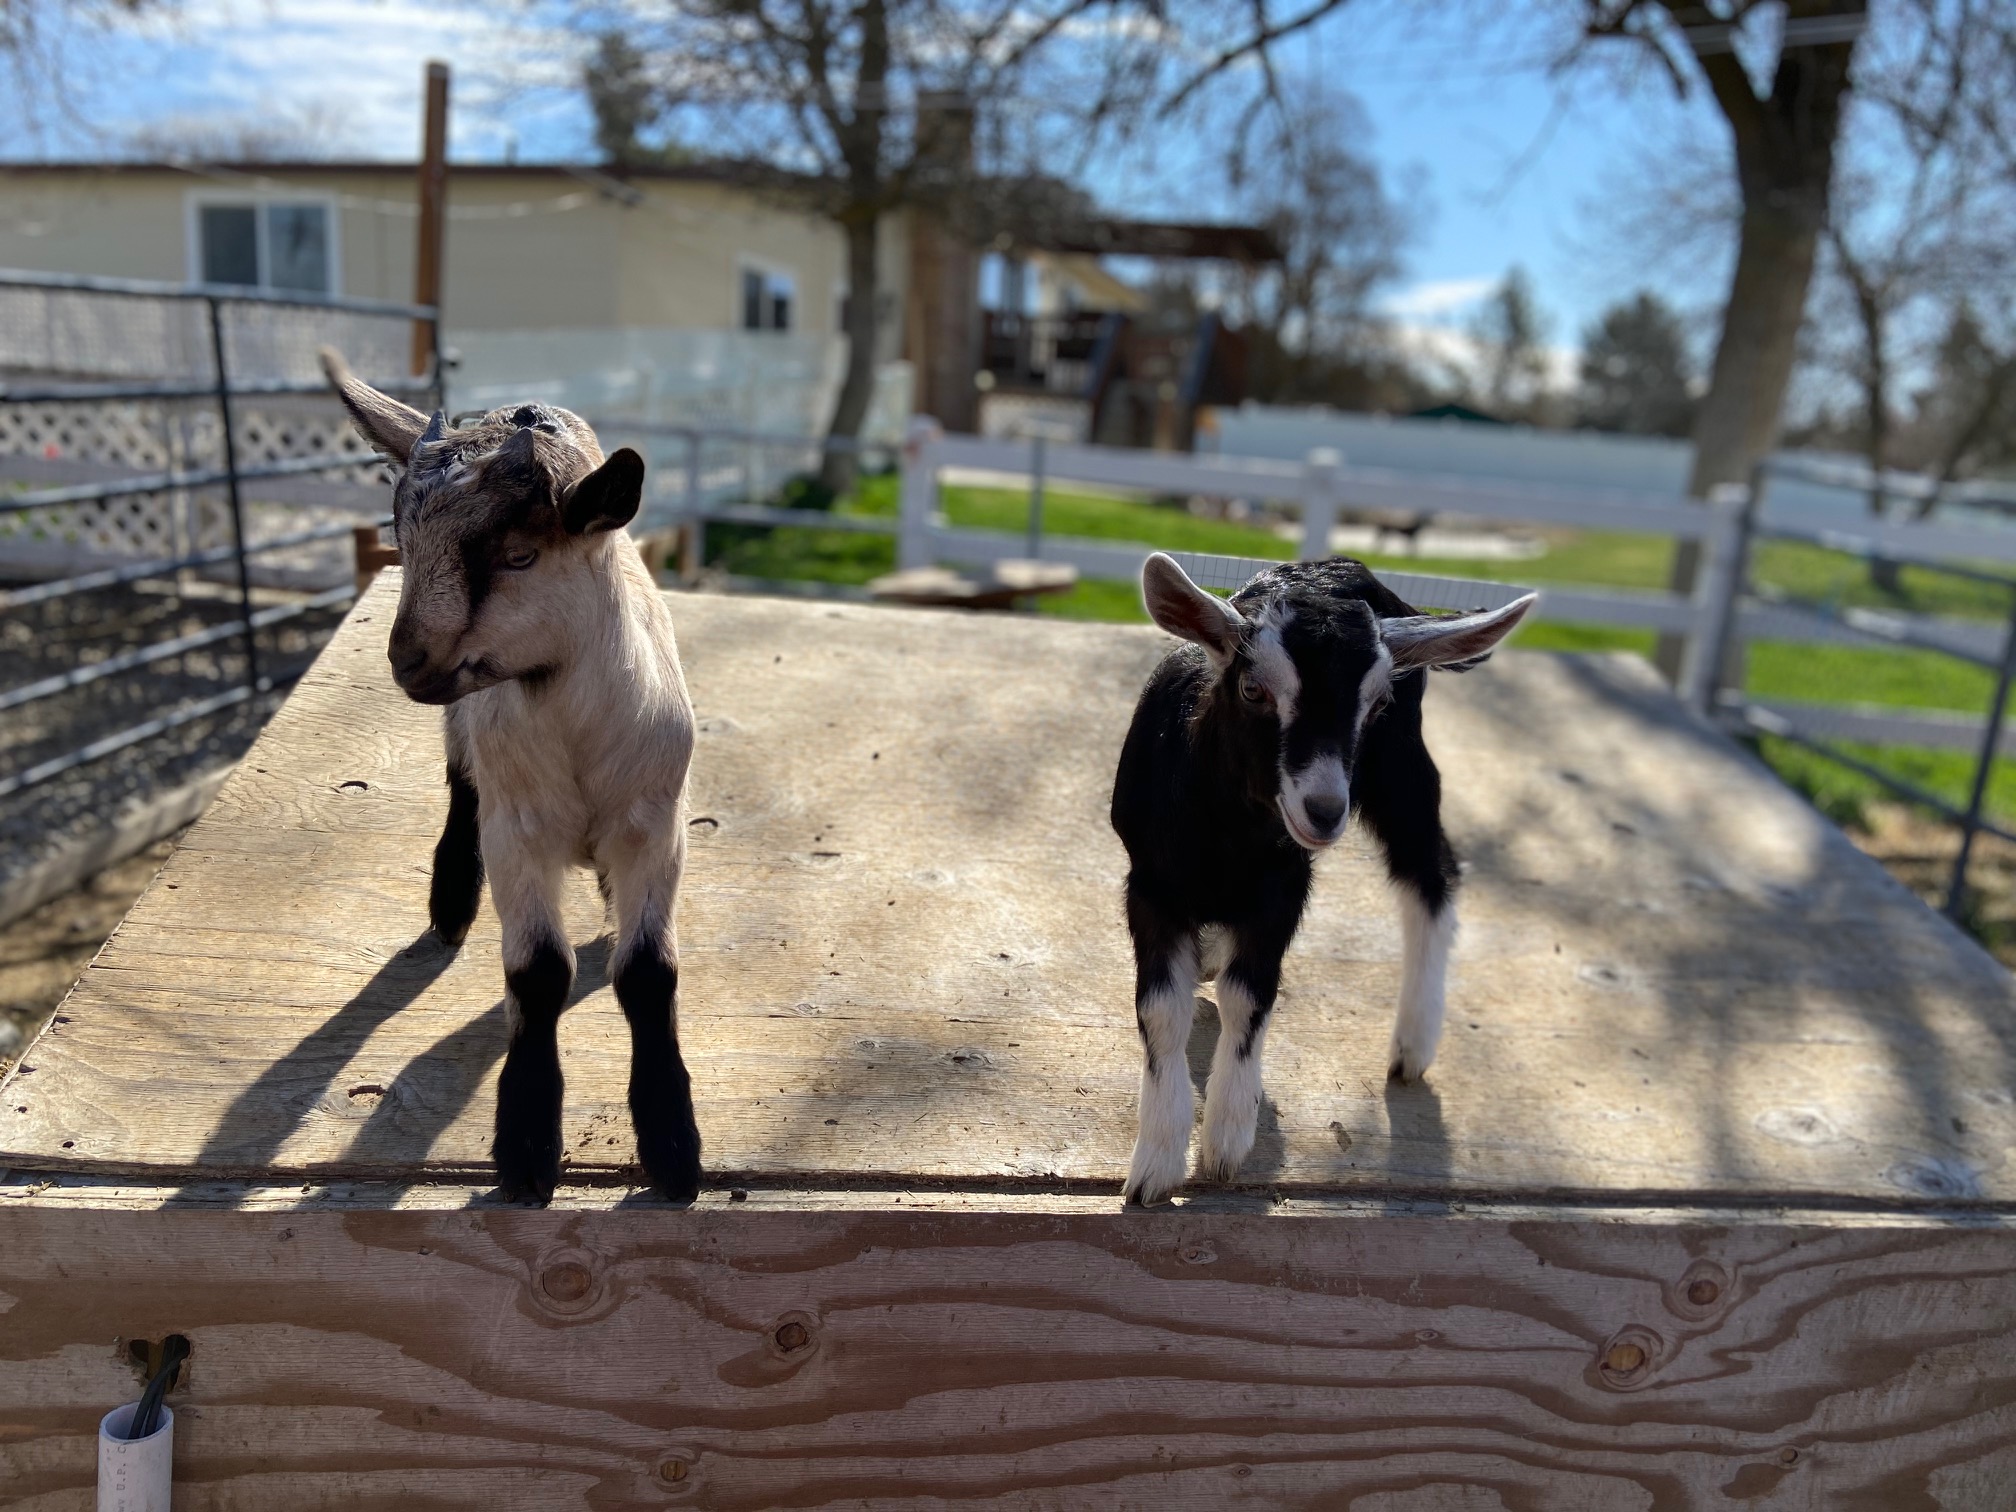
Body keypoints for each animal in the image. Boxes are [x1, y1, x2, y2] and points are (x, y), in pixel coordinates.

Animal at [322, 351, 700, 1205]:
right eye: (402, 540)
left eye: (520, 555)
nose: (408, 661)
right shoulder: (517, 832)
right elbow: (537, 974)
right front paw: (526, 1146)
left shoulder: (655, 825)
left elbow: (647, 972)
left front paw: (673, 1147)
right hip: (469, 739)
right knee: (461, 786)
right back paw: (450, 903)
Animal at [1112, 553, 1535, 1205]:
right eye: (1253, 689)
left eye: (1378, 704)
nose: (1325, 810)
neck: (1226, 834)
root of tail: (1340, 566)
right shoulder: (1150, 886)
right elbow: (1161, 1010)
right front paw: (1155, 1165)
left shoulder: (1283, 888)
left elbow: (1247, 996)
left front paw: (1227, 1137)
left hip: (1402, 776)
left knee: (1432, 874)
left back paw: (1413, 1042)